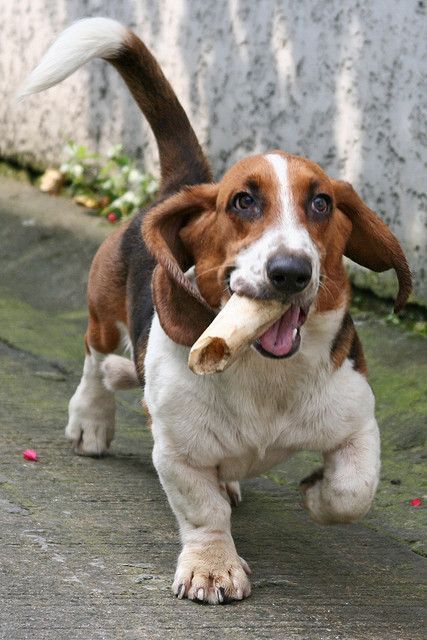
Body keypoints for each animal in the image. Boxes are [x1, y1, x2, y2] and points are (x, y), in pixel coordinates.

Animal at [21, 16, 412, 604]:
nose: (291, 271)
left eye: (321, 203)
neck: (263, 372)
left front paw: (316, 493)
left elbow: (353, 490)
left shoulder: (358, 423)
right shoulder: (177, 455)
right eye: (243, 202)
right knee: (95, 358)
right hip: (103, 315)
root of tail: (184, 185)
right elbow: (203, 513)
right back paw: (92, 416)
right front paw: (213, 567)